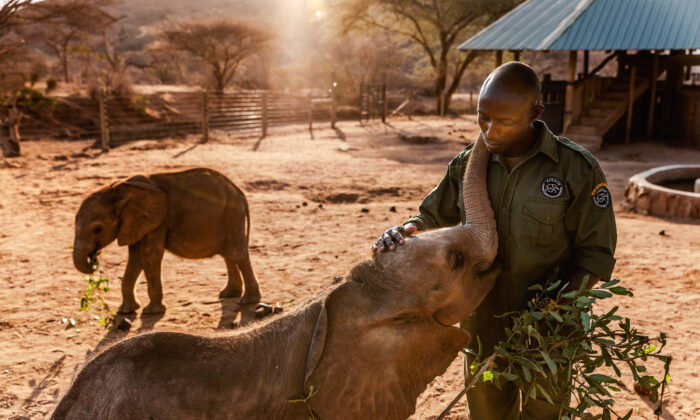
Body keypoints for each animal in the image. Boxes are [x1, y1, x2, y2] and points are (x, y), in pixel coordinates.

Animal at [72, 167, 262, 312]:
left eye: (97, 229)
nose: (94, 258)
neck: (119, 188)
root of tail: (239, 191)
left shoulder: (157, 221)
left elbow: (149, 257)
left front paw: (151, 312)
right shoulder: (136, 223)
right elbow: (135, 259)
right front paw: (125, 311)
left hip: (232, 214)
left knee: (236, 253)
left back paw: (247, 301)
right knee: (227, 254)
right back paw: (229, 294)